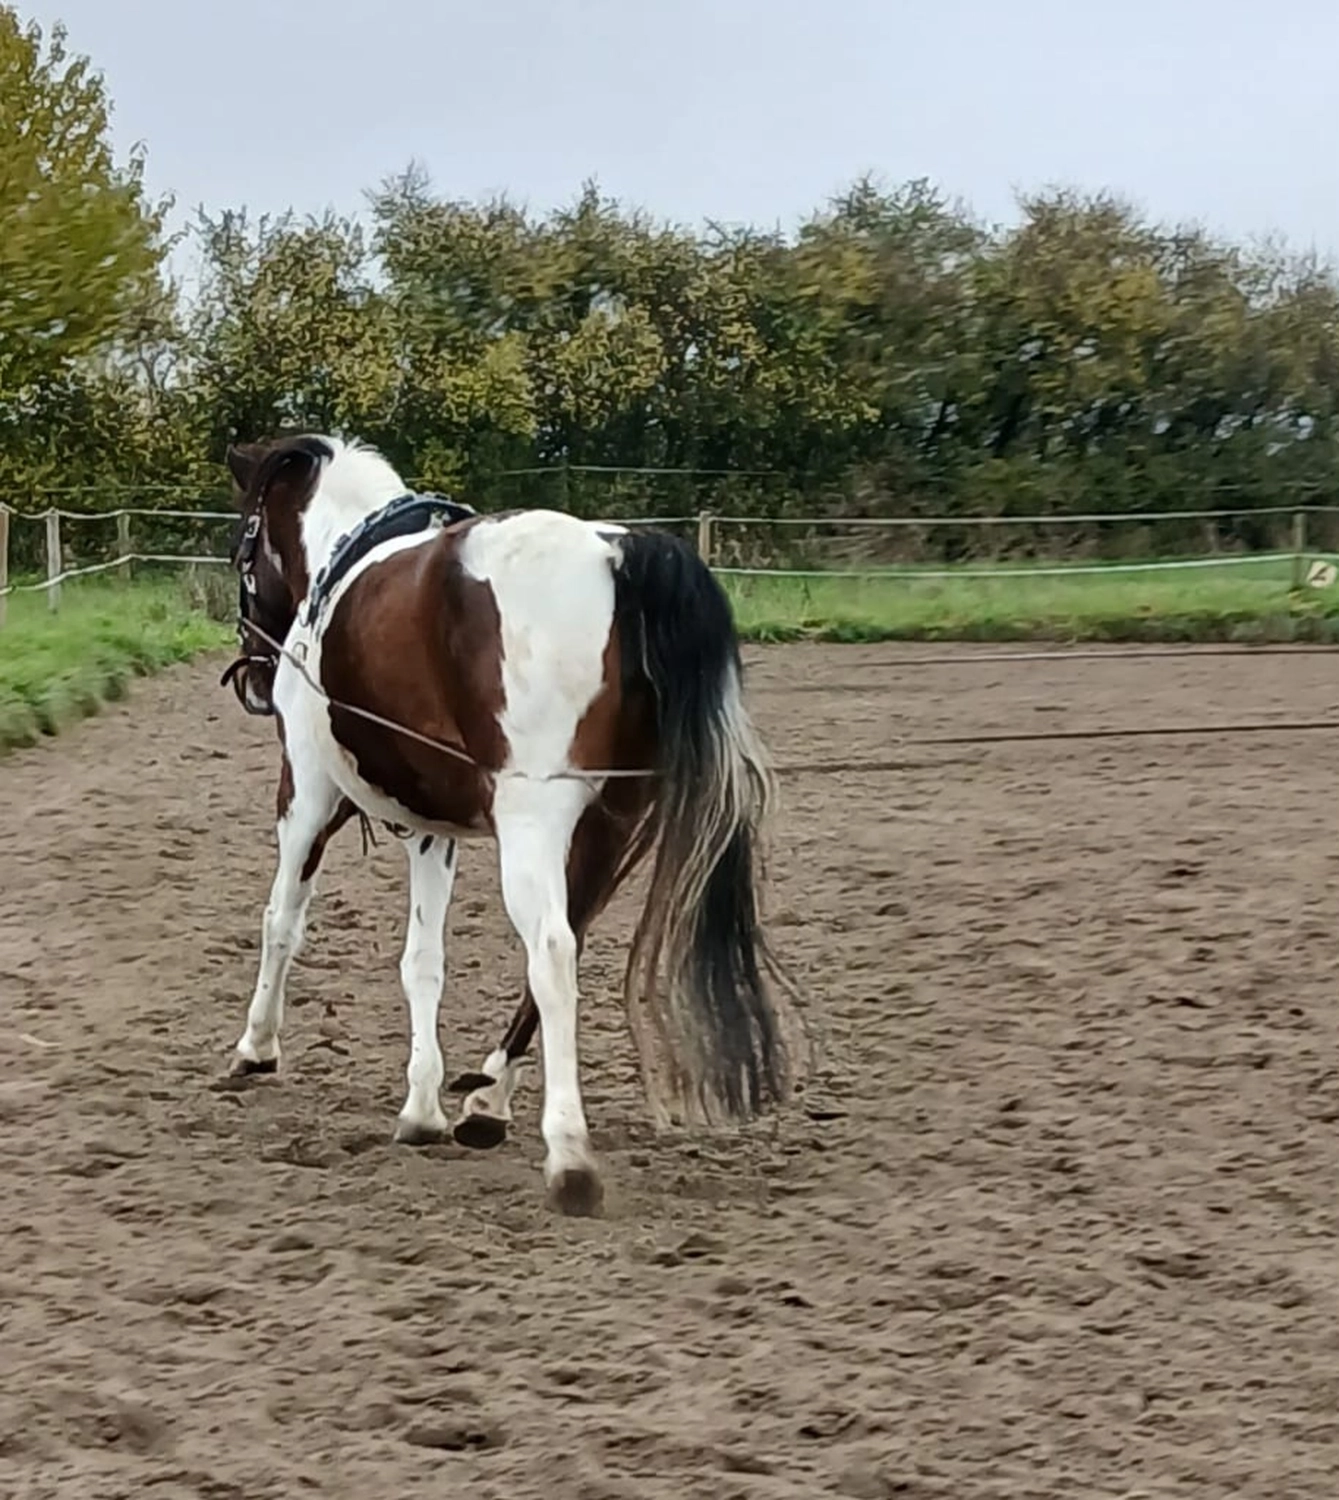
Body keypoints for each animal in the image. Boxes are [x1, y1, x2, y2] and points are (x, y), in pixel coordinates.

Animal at [219, 433, 798, 1215]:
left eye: (242, 548)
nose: (253, 677)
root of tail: (618, 554)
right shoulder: (432, 830)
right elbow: (423, 961)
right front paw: (423, 1106)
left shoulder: (307, 793)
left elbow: (282, 919)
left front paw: (256, 1048)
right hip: (612, 823)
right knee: (566, 937)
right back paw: (488, 1099)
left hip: (534, 821)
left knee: (551, 952)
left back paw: (568, 1156)